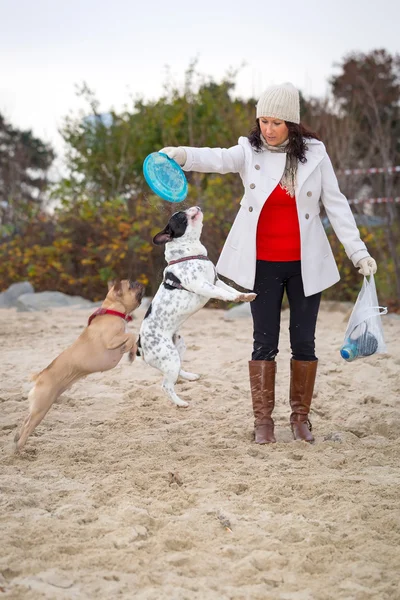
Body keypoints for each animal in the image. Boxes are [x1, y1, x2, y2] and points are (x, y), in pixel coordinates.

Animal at [14, 280, 145, 450]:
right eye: (131, 286)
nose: (139, 283)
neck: (113, 311)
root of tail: (40, 376)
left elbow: (133, 339)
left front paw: (131, 353)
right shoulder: (111, 340)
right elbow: (131, 335)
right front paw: (127, 347)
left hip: (41, 405)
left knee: (25, 420)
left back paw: (16, 438)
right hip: (42, 407)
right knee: (29, 425)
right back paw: (20, 447)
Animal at [138, 206, 256, 408]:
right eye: (180, 216)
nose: (195, 207)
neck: (189, 252)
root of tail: (139, 345)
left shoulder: (216, 280)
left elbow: (229, 288)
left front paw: (245, 296)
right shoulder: (203, 285)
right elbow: (223, 293)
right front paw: (236, 297)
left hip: (178, 349)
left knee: (176, 371)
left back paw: (189, 376)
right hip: (169, 356)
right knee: (166, 385)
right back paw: (180, 403)